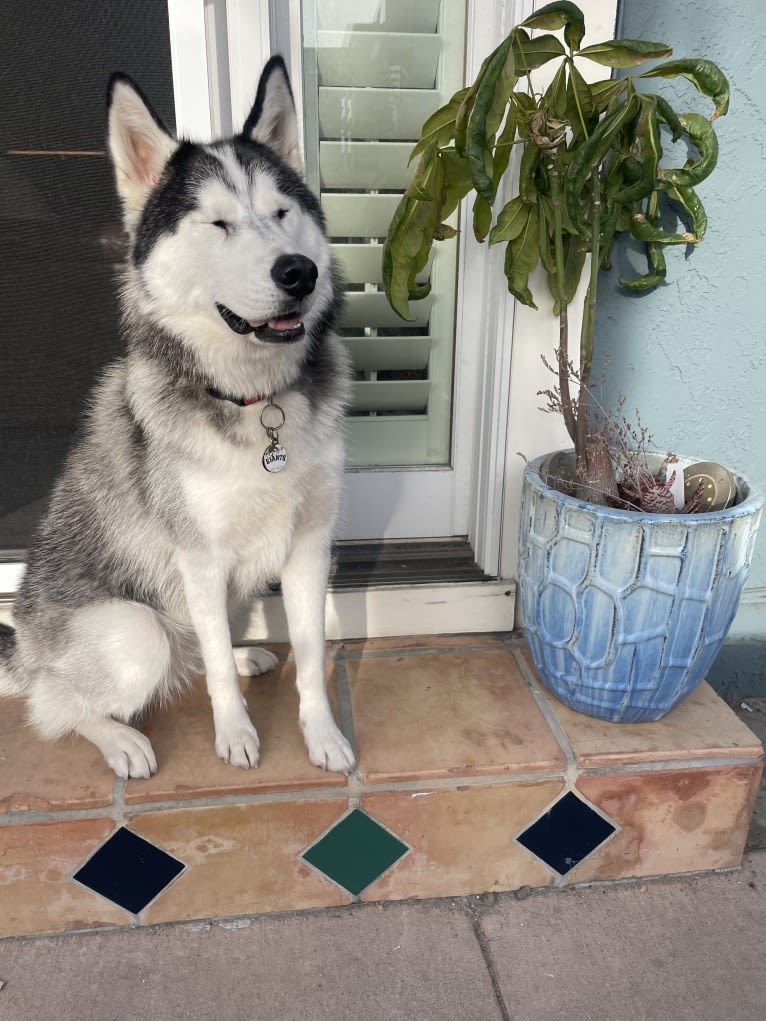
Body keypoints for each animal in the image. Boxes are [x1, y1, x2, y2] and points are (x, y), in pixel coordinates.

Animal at [0, 57, 357, 780]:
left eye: (281, 212)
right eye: (217, 224)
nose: (299, 271)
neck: (253, 400)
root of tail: (22, 649)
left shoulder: (309, 544)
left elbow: (310, 654)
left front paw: (321, 734)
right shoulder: (200, 559)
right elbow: (215, 672)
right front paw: (236, 734)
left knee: (197, 648)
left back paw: (246, 653)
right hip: (132, 632)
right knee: (56, 703)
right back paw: (121, 739)